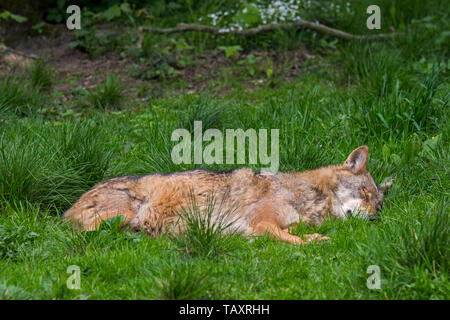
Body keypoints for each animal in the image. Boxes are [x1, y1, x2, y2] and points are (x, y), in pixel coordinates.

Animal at [63, 146, 394, 244]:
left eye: (378, 205)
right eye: (364, 193)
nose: (374, 218)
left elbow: (294, 233)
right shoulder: (260, 224)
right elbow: (295, 239)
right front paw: (315, 240)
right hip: (124, 214)